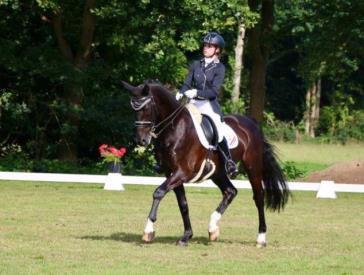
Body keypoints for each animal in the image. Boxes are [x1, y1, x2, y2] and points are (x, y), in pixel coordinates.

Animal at [122, 80, 290, 248]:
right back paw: (213, 228)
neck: (174, 129)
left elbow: (158, 192)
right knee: (230, 191)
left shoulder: (182, 172)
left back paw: (261, 238)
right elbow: (183, 203)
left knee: (258, 197)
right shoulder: (171, 172)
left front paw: (148, 231)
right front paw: (186, 236)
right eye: (133, 109)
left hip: (252, 167)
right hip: (218, 172)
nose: (140, 140)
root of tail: (251, 123)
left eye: (146, 108)